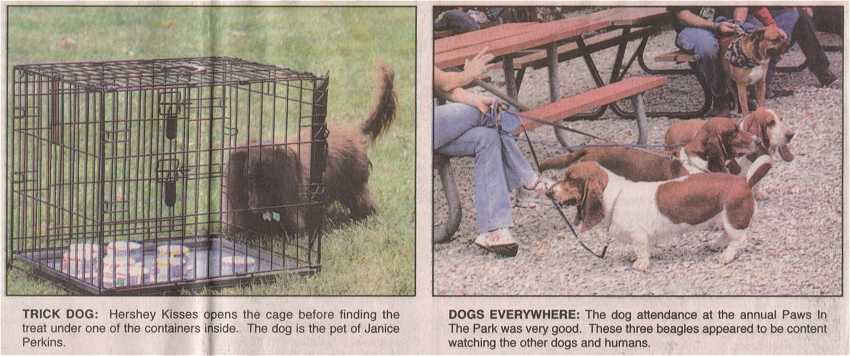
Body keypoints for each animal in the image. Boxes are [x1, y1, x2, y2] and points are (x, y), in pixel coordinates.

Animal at [225, 64, 398, 236]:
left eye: (268, 181)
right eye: (249, 178)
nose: (255, 207)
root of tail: (355, 130)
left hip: (354, 185)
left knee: (365, 205)